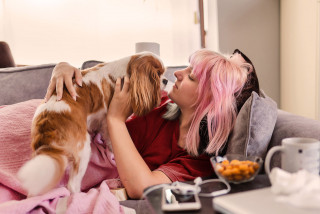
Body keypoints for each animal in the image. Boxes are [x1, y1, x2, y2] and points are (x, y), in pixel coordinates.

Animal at [17, 51, 165, 196]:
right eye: (158, 74)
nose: (166, 80)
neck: (126, 69)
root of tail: (47, 125)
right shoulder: (105, 121)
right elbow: (110, 139)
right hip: (83, 151)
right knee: (72, 185)